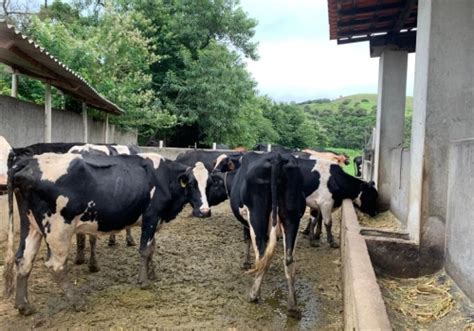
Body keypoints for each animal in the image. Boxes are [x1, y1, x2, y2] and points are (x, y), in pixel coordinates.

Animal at [3, 153, 211, 316]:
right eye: (192, 184)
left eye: (208, 184)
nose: (205, 211)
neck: (164, 178)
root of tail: (28, 161)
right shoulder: (151, 216)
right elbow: (145, 250)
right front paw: (144, 281)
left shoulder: (155, 220)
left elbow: (152, 248)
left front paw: (152, 273)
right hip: (58, 229)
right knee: (56, 266)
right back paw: (77, 302)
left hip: (31, 226)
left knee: (24, 259)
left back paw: (24, 306)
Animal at [229, 153, 304, 320]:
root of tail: (277, 157)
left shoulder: (247, 222)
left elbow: (247, 239)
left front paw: (246, 263)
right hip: (292, 216)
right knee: (289, 259)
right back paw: (293, 307)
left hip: (256, 216)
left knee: (262, 254)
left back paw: (254, 294)